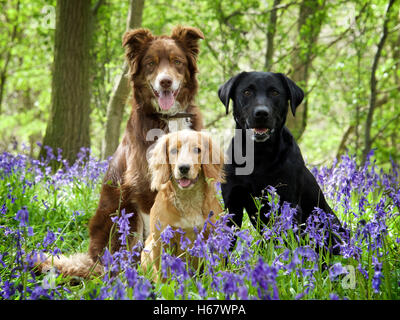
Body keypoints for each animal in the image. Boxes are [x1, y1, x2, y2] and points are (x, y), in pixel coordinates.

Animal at [141, 129, 223, 282]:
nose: (183, 168)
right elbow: (163, 276)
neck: (188, 199)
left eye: (197, 150)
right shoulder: (161, 240)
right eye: (173, 150)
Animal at [219, 71, 344, 254]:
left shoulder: (288, 202)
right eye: (247, 92)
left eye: (275, 92)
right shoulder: (232, 203)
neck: (258, 156)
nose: (261, 113)